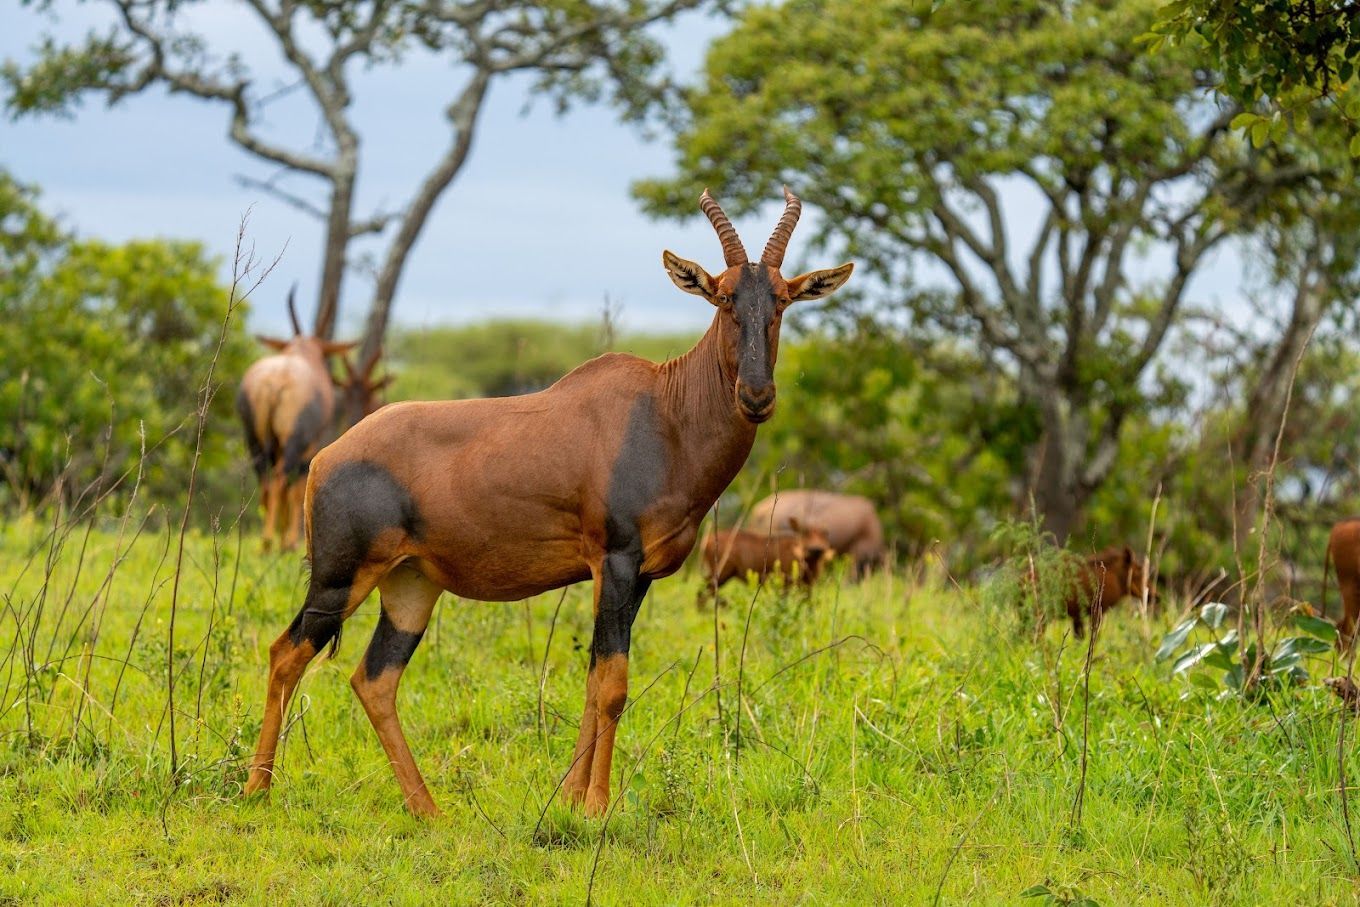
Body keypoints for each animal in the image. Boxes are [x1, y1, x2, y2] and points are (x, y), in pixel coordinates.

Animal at [236, 288, 359, 551]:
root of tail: (275, 381)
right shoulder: (310, 446)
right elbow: (298, 487)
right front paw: (289, 541)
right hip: (294, 441)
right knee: (282, 480)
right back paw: (274, 543)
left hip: (255, 441)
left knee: (266, 482)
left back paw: (267, 541)